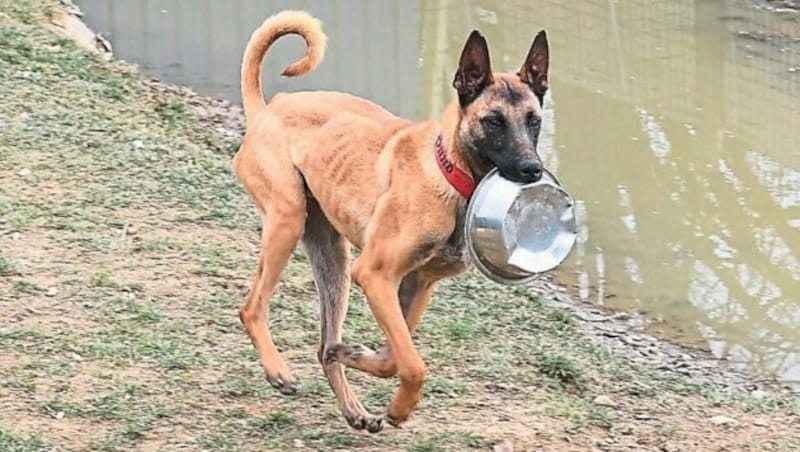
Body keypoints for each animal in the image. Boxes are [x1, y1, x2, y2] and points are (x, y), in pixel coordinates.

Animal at [231, 9, 552, 434]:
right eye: (494, 121)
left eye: (534, 121)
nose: (533, 170)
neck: (450, 171)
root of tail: (268, 109)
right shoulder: (376, 276)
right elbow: (412, 364)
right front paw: (401, 408)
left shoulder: (417, 284)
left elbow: (389, 357)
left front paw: (351, 353)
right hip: (288, 220)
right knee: (252, 307)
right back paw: (277, 369)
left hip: (332, 259)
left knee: (322, 344)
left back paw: (351, 404)